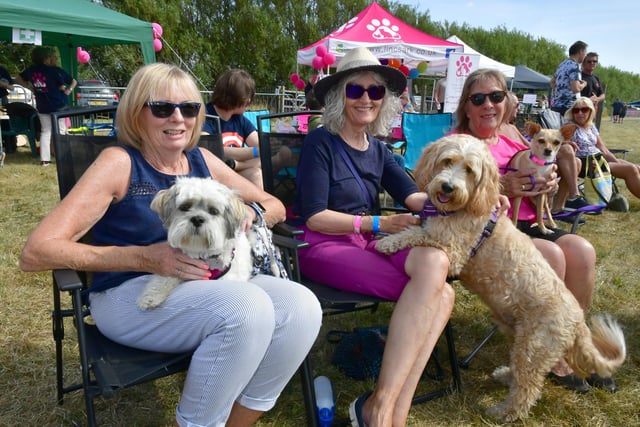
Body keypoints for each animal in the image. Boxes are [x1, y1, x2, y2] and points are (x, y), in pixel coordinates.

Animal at [138, 177, 252, 310]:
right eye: (185, 207)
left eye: (213, 211)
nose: (197, 219)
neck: (202, 253)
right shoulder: (176, 267)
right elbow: (164, 278)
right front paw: (151, 295)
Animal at [378, 135, 628, 422]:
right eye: (447, 161)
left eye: (470, 170)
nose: (448, 187)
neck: (463, 207)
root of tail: (578, 321)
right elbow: (416, 228)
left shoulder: (453, 253)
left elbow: (416, 234)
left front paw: (386, 241)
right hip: (520, 337)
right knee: (526, 374)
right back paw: (507, 375)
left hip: (533, 345)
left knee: (527, 389)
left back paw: (504, 412)